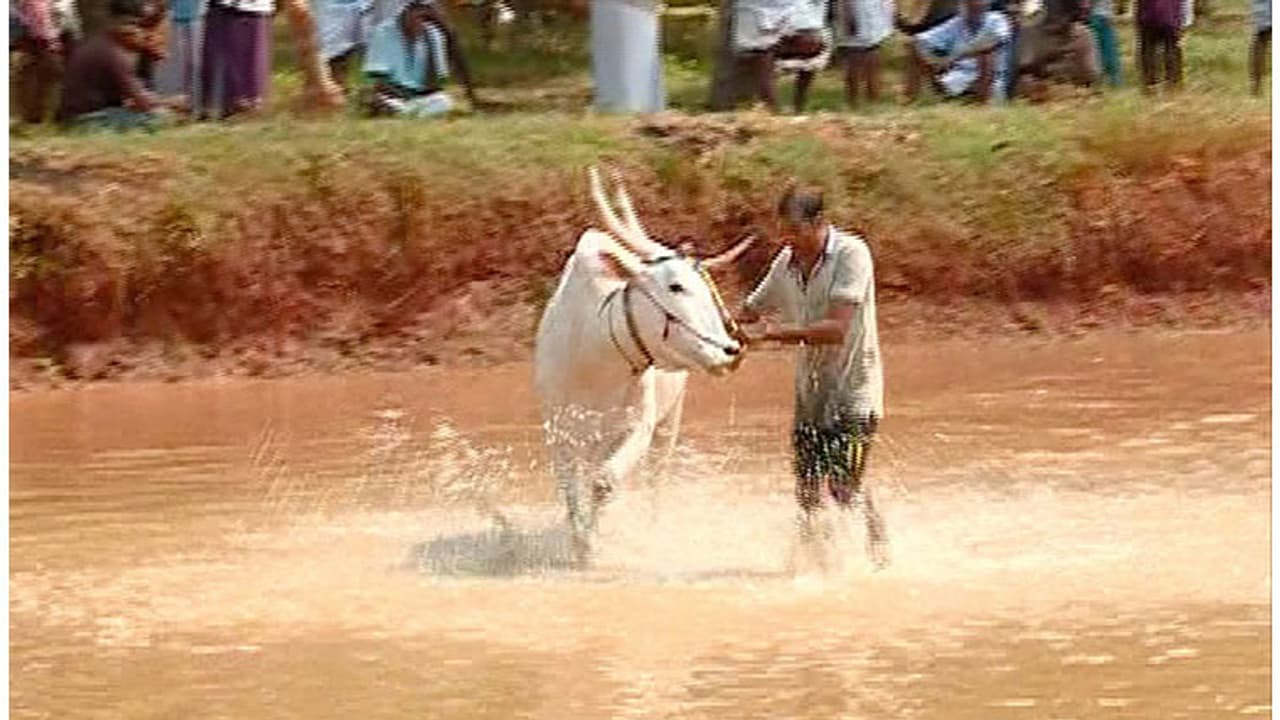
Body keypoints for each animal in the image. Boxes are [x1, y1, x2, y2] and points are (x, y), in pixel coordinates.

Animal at [534, 167, 754, 568]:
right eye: (676, 286)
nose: (731, 350)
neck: (597, 356)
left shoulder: (639, 425)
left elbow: (604, 482)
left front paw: (591, 545)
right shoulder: (559, 431)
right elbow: (572, 489)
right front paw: (580, 543)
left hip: (670, 422)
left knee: (655, 481)